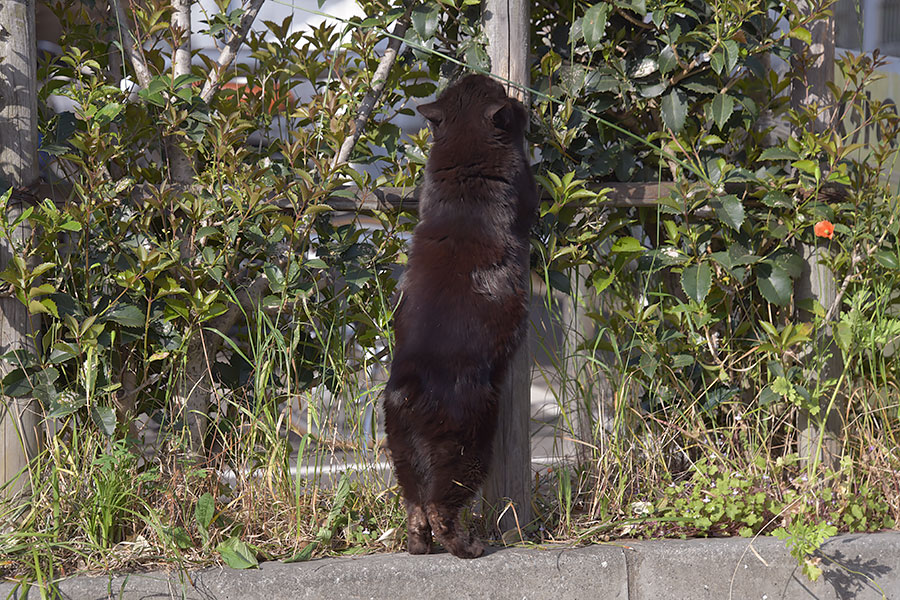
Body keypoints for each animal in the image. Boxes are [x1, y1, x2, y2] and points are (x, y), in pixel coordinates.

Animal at [384, 74, 536, 556]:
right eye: (503, 97)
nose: (517, 100)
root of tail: (409, 388)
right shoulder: (523, 187)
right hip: (469, 445)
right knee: (439, 504)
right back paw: (467, 547)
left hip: (402, 453)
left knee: (414, 503)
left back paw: (418, 546)